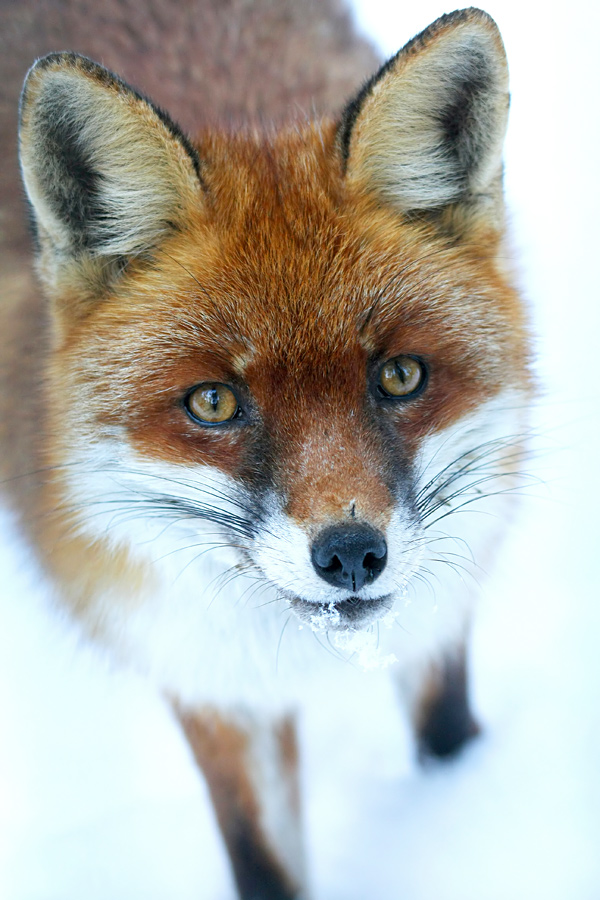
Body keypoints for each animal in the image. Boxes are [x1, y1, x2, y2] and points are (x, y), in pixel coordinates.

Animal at [1, 1, 536, 900]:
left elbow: (445, 734)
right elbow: (260, 857)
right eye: (214, 402)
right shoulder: (208, 684)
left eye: (399, 375)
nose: (351, 554)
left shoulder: (439, 613)